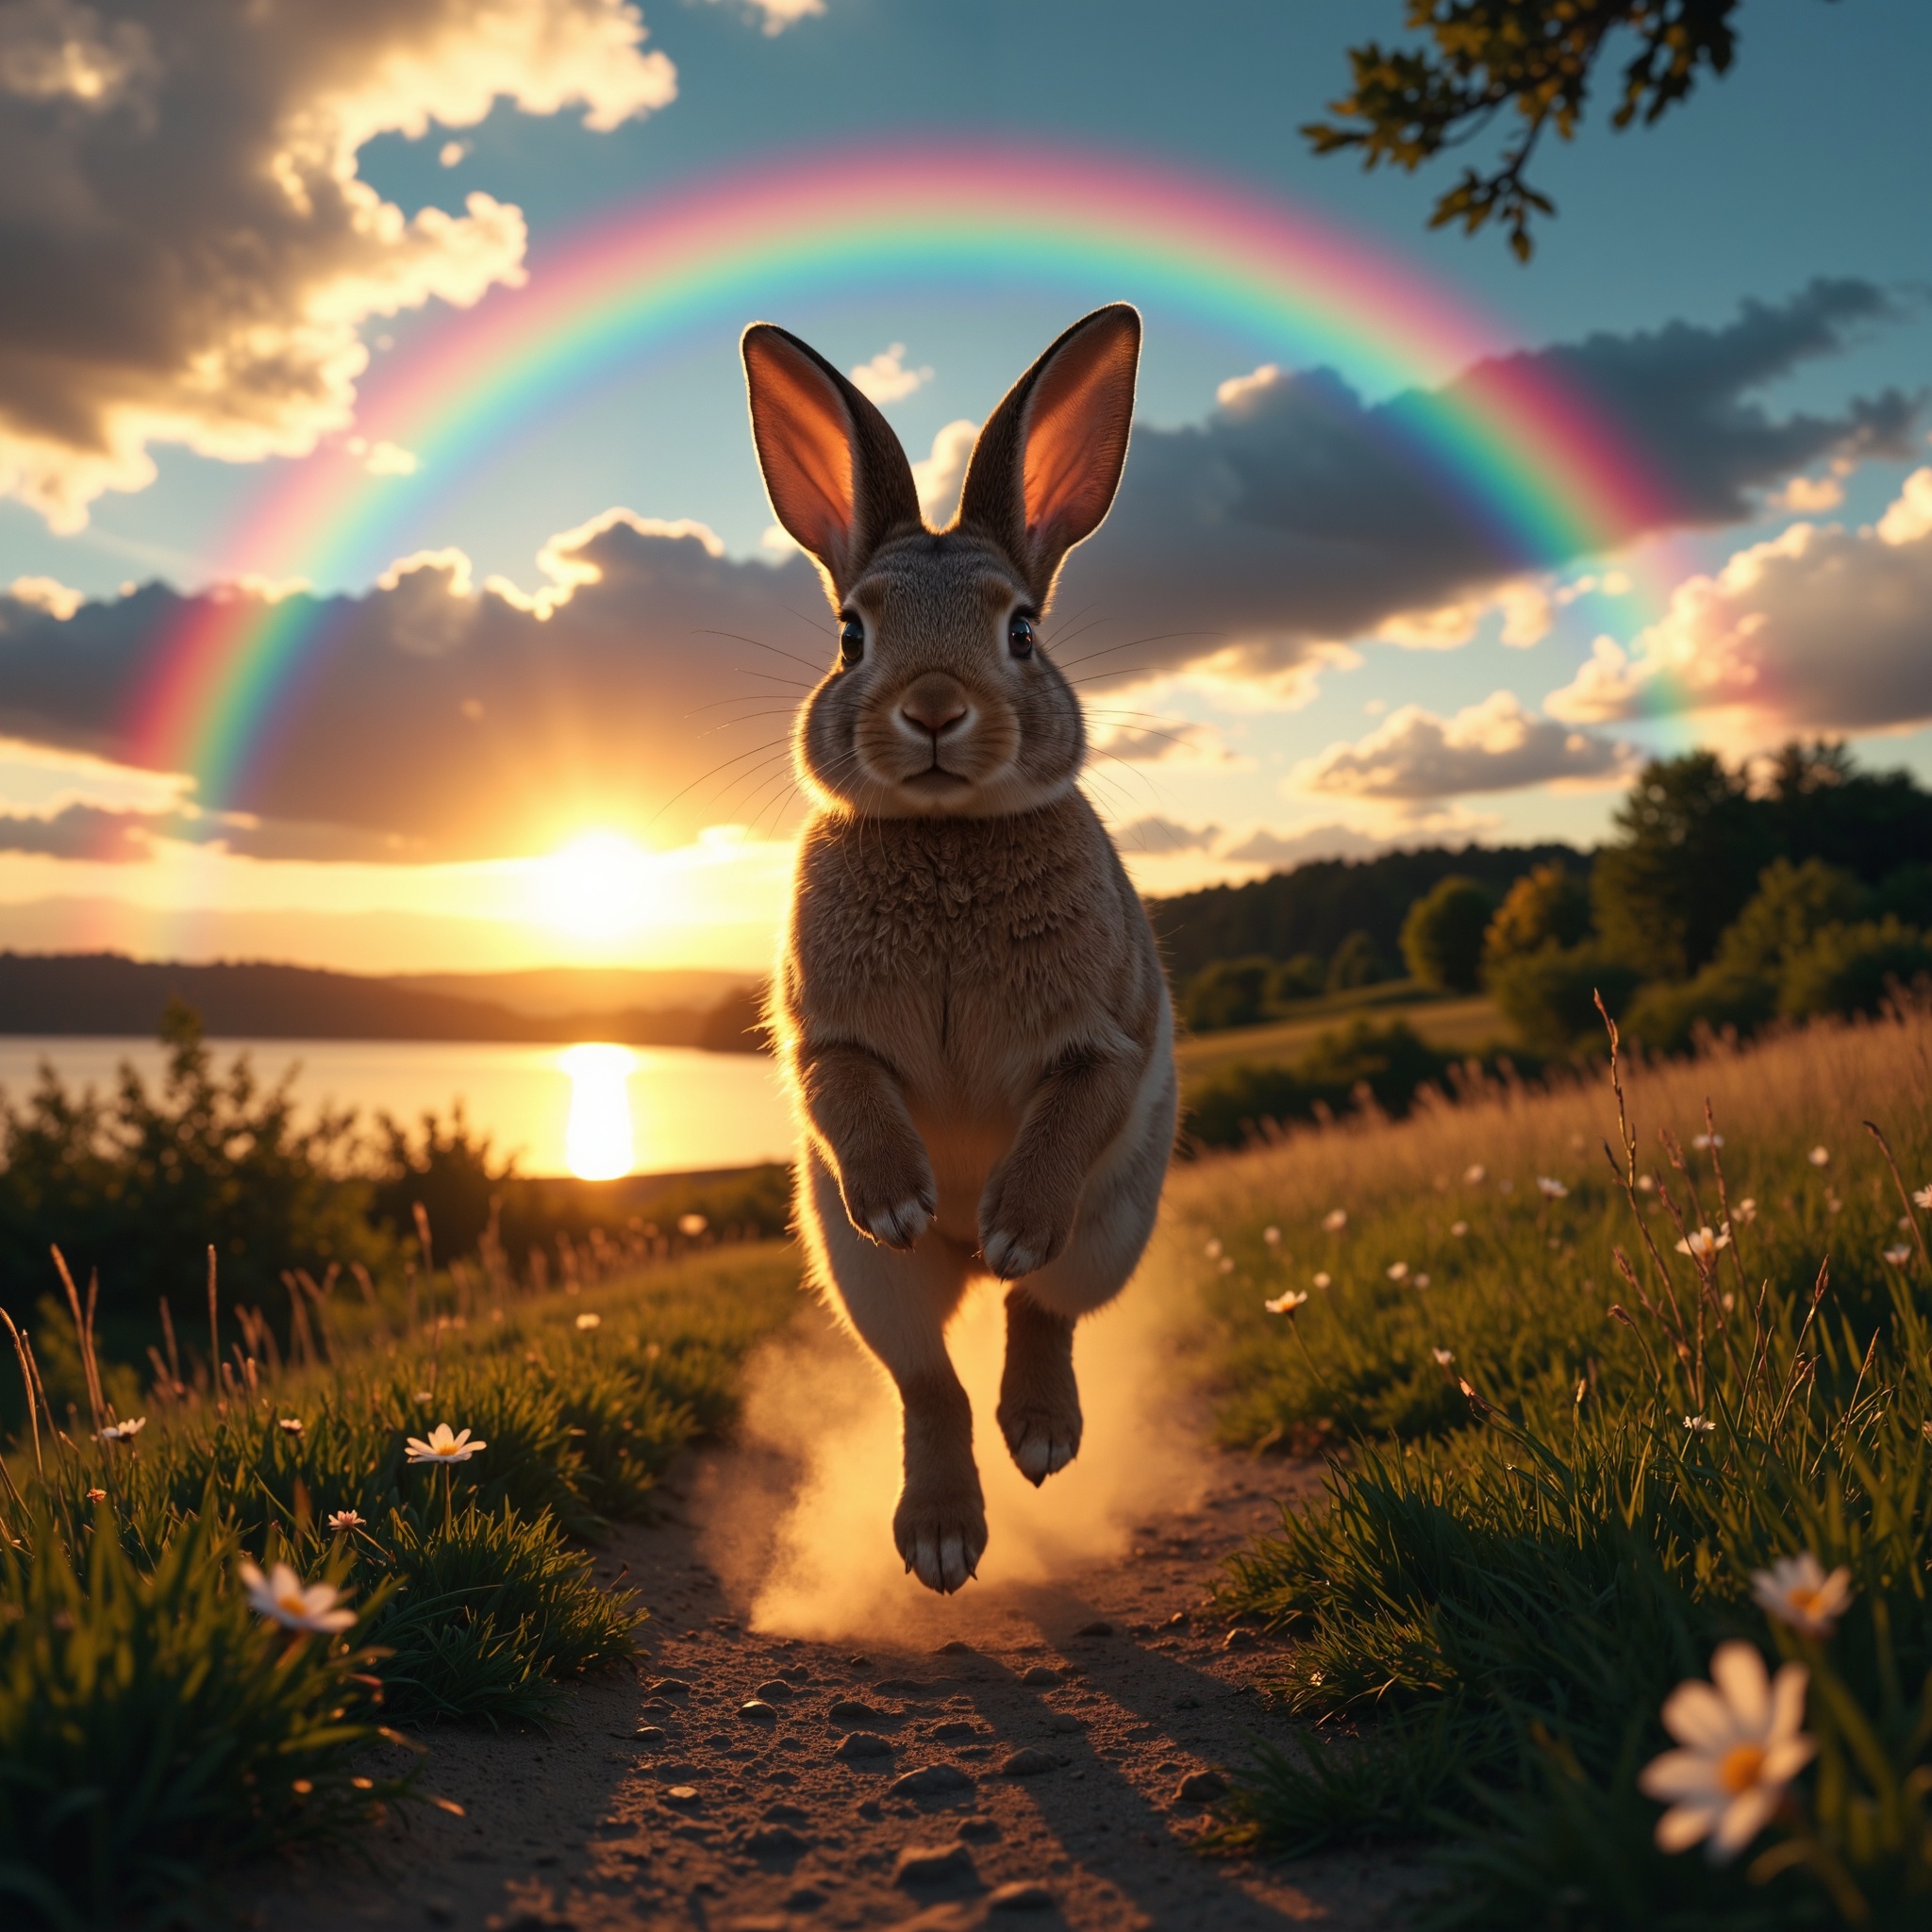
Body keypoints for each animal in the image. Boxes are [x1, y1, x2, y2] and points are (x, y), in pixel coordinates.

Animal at [741, 304, 1176, 1595]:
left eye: (1020, 629)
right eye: (850, 635)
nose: (933, 708)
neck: (944, 838)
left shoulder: (1103, 1037)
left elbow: (1072, 1108)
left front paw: (1013, 1218)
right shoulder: (825, 1033)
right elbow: (844, 1086)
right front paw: (898, 1192)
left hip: (1112, 1228)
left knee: (1041, 1313)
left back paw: (1037, 1425)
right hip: (860, 1277)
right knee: (922, 1377)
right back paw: (939, 1534)